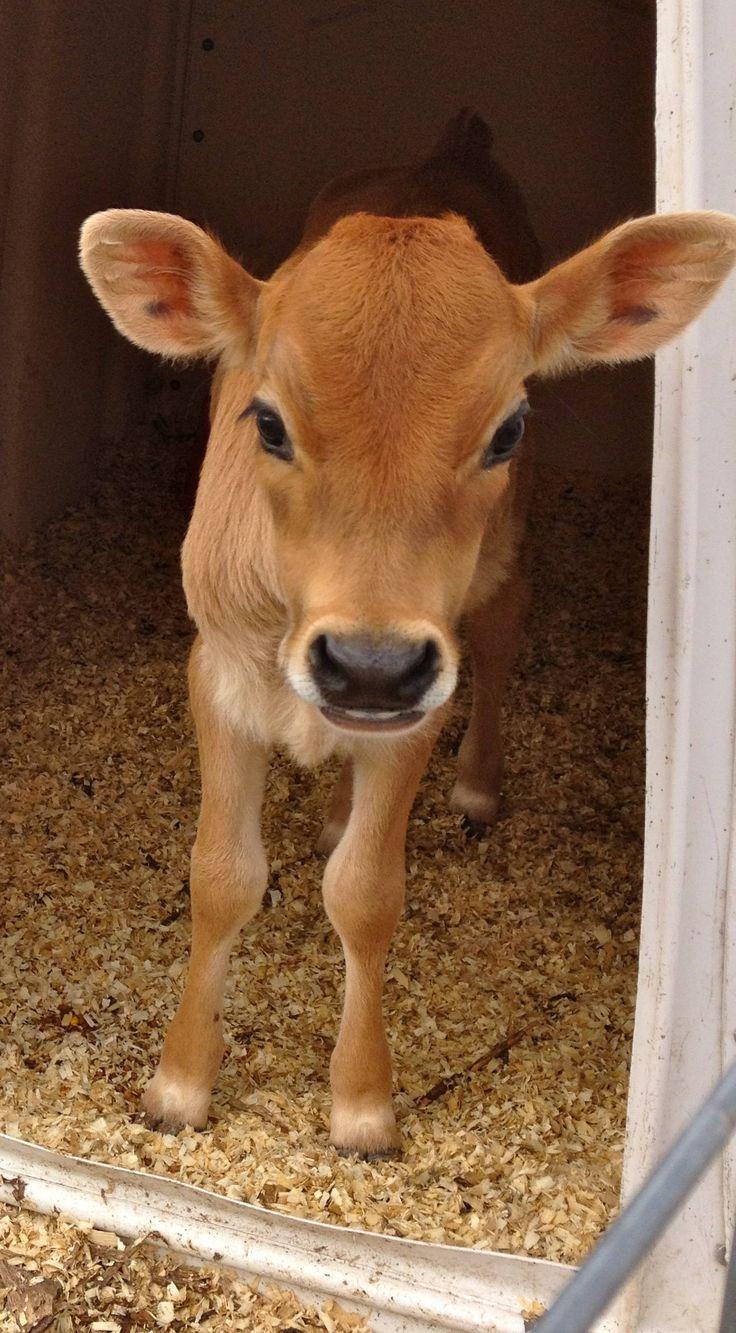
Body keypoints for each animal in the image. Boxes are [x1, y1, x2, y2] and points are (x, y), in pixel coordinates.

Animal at [80, 111, 736, 1157]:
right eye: (266, 421)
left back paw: (473, 786)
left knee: (502, 632)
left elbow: (366, 893)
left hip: (494, 575)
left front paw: (361, 1104)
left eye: (506, 428)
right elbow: (220, 875)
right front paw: (179, 1084)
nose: (370, 666)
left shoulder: (422, 696)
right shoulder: (216, 666)